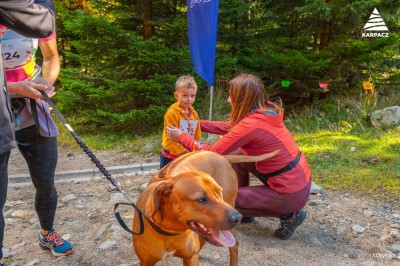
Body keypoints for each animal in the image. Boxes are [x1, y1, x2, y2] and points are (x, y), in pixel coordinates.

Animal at [131, 151, 278, 264]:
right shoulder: (146, 261)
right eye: (202, 199)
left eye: (220, 192)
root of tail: (222, 156)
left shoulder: (190, 258)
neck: (169, 231)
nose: (238, 217)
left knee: (234, 245)